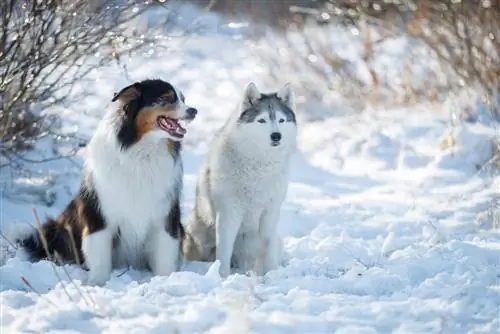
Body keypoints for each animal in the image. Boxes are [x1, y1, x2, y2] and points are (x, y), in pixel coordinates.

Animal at [183, 81, 296, 276]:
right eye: (262, 120)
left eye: (281, 120)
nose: (276, 135)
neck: (259, 165)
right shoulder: (229, 213)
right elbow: (224, 252)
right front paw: (221, 277)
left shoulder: (270, 213)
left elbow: (268, 249)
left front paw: (272, 274)